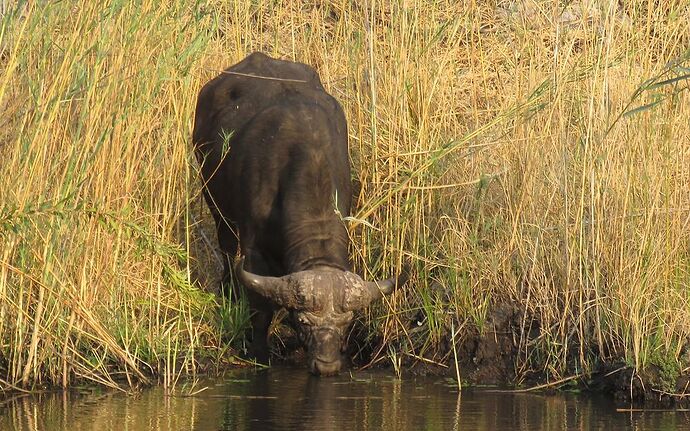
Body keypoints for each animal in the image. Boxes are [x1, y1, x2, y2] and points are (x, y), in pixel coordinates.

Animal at [191, 52, 404, 376]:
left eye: (346, 323)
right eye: (303, 321)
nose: (327, 365)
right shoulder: (254, 249)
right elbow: (261, 309)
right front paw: (259, 351)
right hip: (215, 202)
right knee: (226, 246)